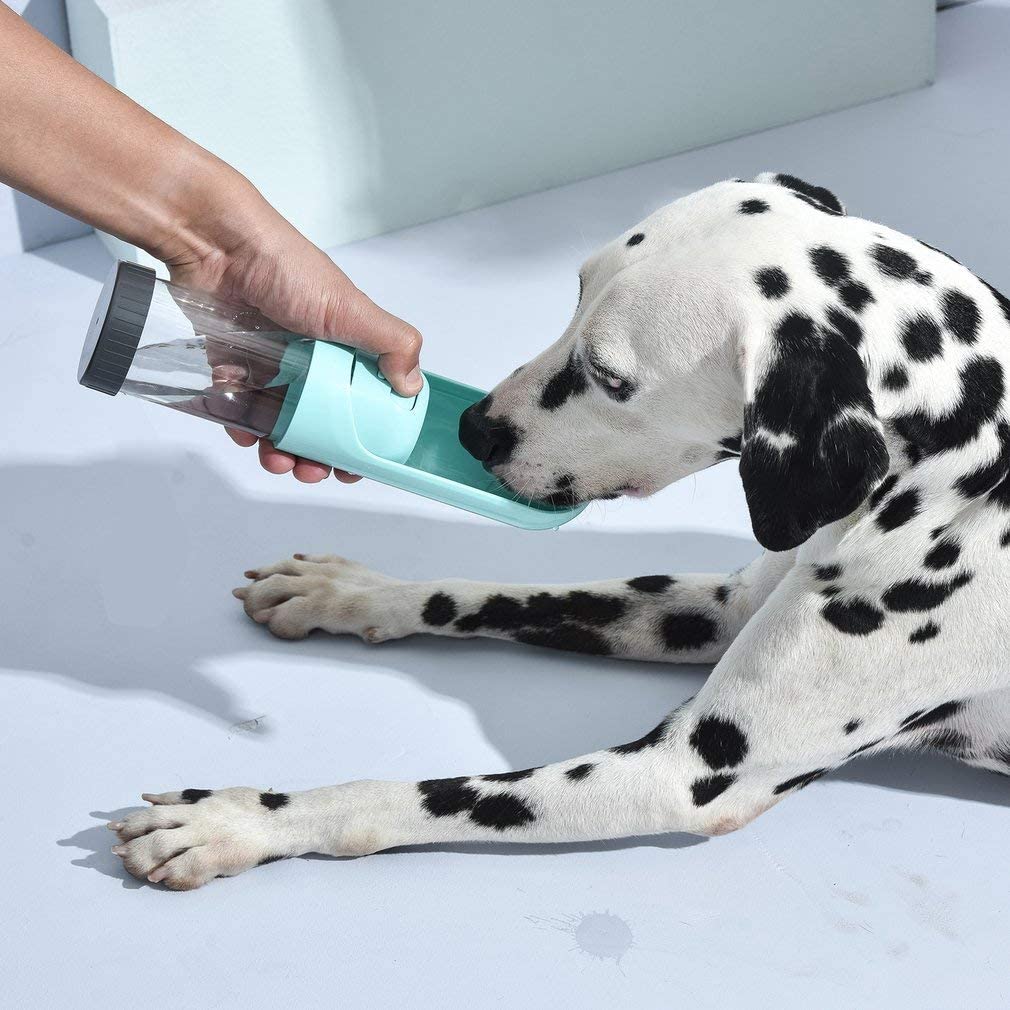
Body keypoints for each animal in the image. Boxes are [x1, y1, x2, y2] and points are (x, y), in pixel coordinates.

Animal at [109, 173, 1010, 889]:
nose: (472, 429)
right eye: (573, 292)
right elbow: (484, 594)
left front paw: (243, 821)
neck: (959, 464)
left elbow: (401, 796)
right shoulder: (715, 608)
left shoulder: (683, 774)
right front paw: (350, 590)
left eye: (610, 378)